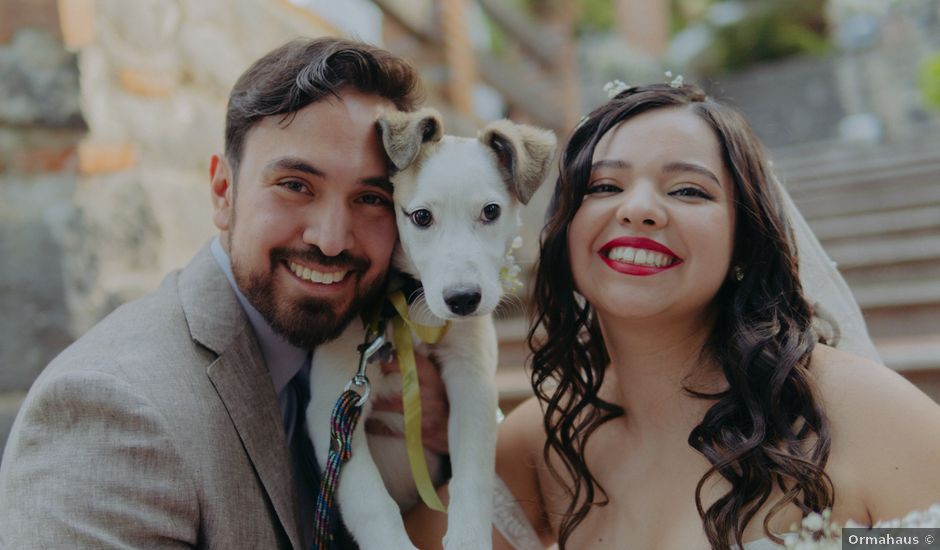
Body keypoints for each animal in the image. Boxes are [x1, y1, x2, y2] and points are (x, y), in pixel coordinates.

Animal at [308, 109, 560, 550]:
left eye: (491, 211)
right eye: (421, 217)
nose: (463, 300)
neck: (411, 305)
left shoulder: (472, 379)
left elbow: (473, 475)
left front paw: (467, 539)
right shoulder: (332, 404)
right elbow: (371, 503)